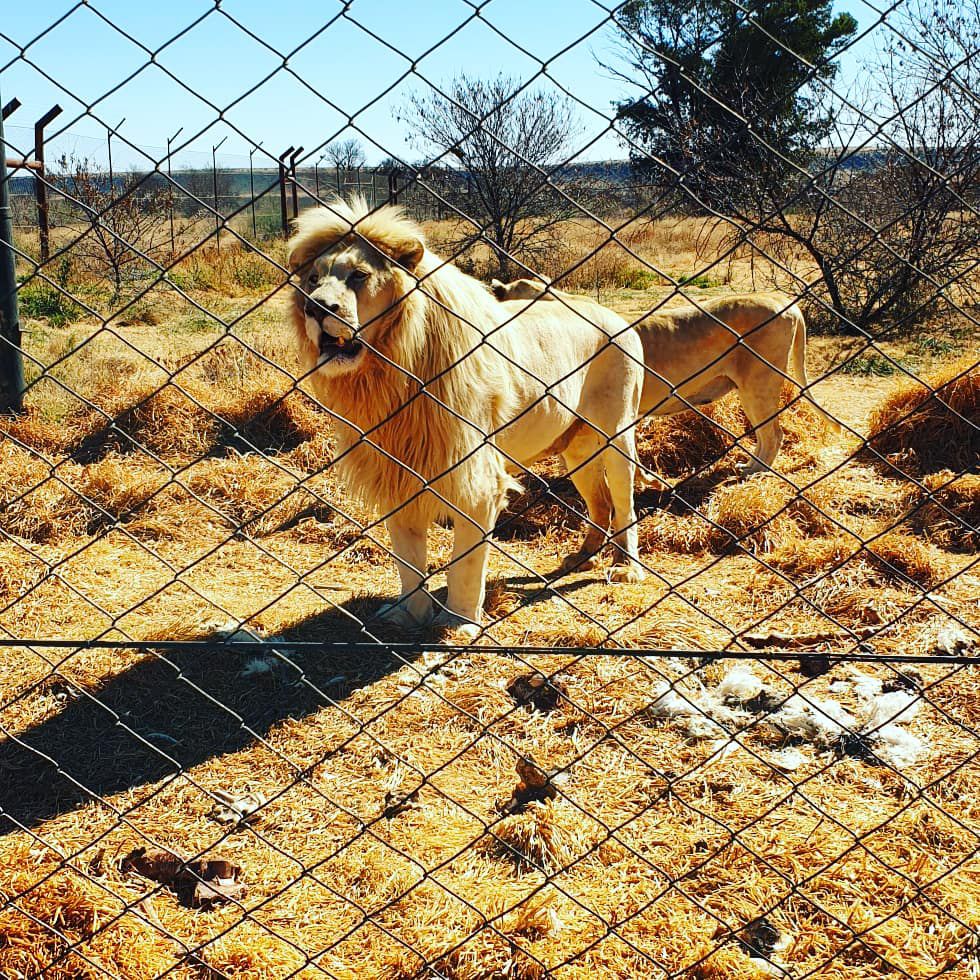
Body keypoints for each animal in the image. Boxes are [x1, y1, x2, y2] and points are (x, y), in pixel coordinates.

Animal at [288, 203, 648, 640]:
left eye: (359, 275)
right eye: (312, 280)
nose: (316, 307)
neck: (387, 377)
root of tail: (617, 317)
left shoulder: (478, 480)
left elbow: (466, 562)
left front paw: (459, 622)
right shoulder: (399, 473)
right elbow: (408, 559)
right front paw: (408, 615)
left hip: (617, 436)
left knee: (624, 504)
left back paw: (626, 568)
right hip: (577, 449)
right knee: (600, 502)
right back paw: (582, 558)